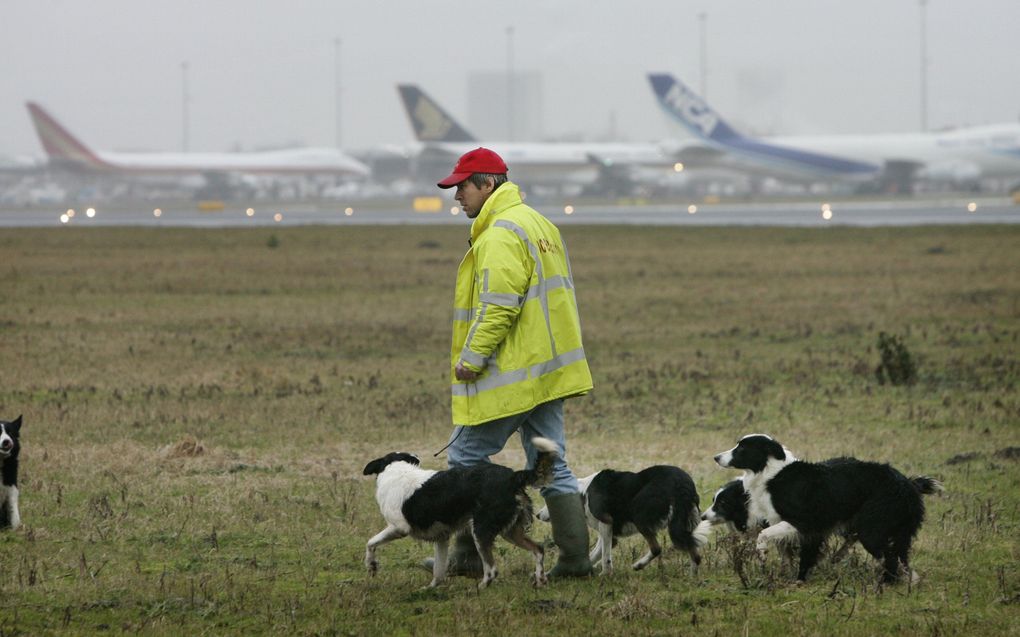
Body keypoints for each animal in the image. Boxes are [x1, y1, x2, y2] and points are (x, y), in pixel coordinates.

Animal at [363, 436, 558, 587]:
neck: (396, 469)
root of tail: (512, 476)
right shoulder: (441, 538)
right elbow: (439, 571)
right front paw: (430, 589)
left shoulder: (399, 528)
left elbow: (370, 542)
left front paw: (371, 565)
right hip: (510, 531)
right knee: (538, 549)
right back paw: (540, 580)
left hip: (481, 530)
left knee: (492, 570)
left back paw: (481, 588)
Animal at [538, 464, 705, 574]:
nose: (537, 515)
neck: (583, 492)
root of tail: (682, 483)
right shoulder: (608, 533)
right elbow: (594, 554)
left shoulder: (606, 523)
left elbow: (605, 557)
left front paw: (605, 575)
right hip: (681, 523)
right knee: (696, 555)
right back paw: (692, 578)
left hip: (639, 514)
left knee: (656, 548)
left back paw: (639, 565)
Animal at [718, 432, 938, 582]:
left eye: (741, 449)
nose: (716, 457)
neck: (773, 473)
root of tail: (909, 484)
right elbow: (785, 553)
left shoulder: (805, 522)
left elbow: (766, 536)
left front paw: (785, 570)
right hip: (898, 532)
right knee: (902, 560)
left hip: (872, 529)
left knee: (890, 558)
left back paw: (884, 585)